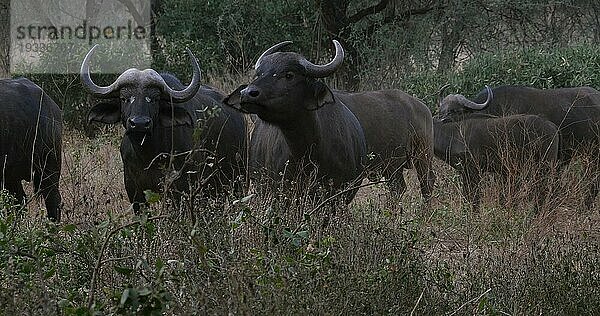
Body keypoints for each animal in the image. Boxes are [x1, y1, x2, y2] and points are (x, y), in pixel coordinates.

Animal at [81, 45, 246, 212]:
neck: (148, 155)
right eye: (124, 98)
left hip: (238, 179)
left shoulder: (181, 188)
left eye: (154, 99)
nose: (139, 123)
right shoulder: (134, 190)